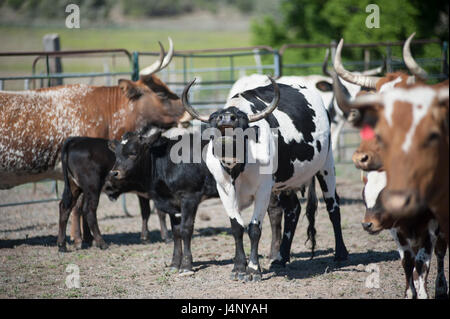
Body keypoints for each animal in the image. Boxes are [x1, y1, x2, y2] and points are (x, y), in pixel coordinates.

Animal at [181, 76, 350, 282]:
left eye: (242, 124)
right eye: (214, 123)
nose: (227, 118)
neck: (237, 168)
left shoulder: (262, 189)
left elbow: (254, 229)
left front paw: (253, 270)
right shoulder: (224, 190)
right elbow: (236, 227)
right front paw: (239, 267)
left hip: (326, 164)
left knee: (333, 207)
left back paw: (340, 254)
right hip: (286, 181)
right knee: (293, 210)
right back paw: (281, 257)